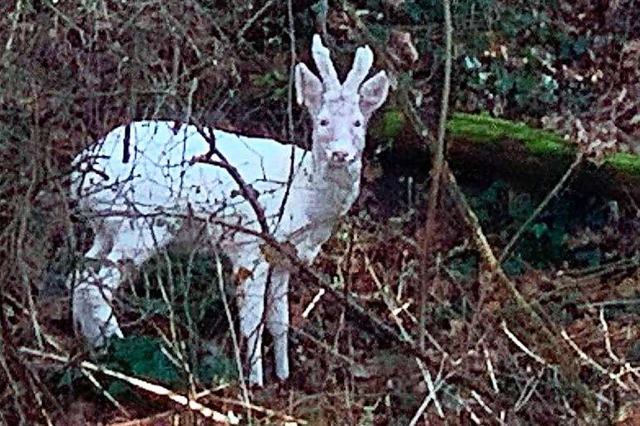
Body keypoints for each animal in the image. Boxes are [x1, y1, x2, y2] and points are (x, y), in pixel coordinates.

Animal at [70, 34, 390, 386]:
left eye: (358, 122)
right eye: (323, 121)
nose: (341, 154)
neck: (303, 198)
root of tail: (79, 172)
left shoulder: (285, 257)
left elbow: (279, 319)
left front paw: (284, 376)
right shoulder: (249, 246)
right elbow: (251, 321)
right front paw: (255, 382)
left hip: (107, 225)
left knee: (80, 274)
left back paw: (93, 350)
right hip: (141, 221)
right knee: (98, 283)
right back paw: (120, 351)